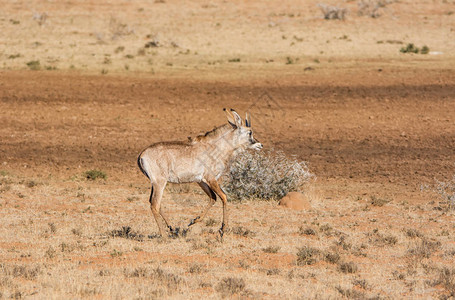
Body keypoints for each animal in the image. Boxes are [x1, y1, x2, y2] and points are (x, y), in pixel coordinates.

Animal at [137, 109, 262, 238]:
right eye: (250, 132)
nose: (259, 145)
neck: (217, 146)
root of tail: (142, 155)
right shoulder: (211, 179)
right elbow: (224, 197)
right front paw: (222, 229)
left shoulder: (201, 181)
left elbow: (213, 197)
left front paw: (194, 220)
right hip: (159, 183)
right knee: (155, 205)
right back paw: (164, 235)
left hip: (156, 184)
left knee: (155, 203)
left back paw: (172, 229)